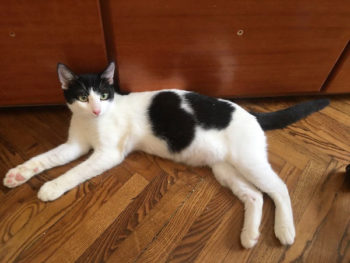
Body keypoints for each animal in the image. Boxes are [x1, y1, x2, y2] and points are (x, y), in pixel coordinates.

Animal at [4, 62, 330, 250]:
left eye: (104, 94)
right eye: (83, 97)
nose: (96, 109)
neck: (92, 122)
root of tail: (251, 113)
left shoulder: (108, 154)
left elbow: (74, 172)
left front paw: (51, 187)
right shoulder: (75, 145)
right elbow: (47, 158)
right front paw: (19, 174)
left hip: (248, 161)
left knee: (278, 188)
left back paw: (284, 229)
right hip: (225, 169)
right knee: (255, 196)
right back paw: (249, 236)